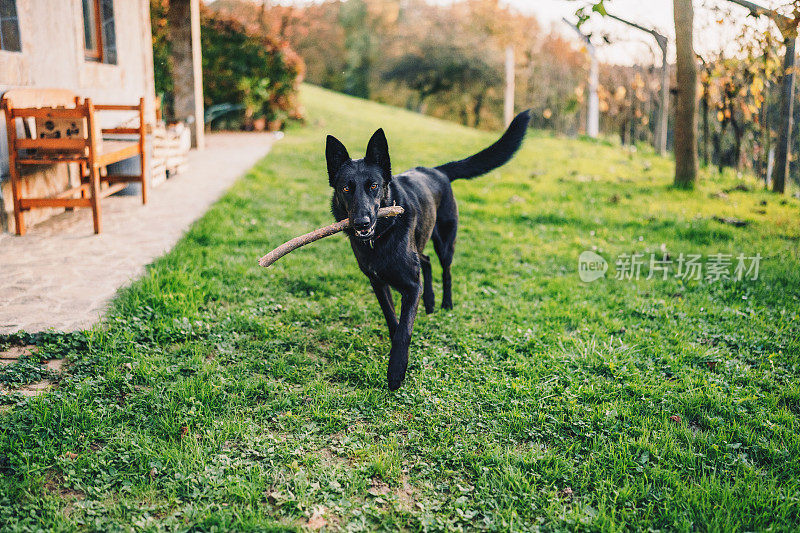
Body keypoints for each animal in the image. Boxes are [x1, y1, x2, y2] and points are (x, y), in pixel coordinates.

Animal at [324, 110, 532, 388]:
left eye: (374, 186)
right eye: (346, 188)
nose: (361, 222)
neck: (380, 237)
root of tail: (437, 171)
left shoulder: (412, 287)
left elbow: (404, 329)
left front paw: (396, 372)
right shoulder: (378, 283)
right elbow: (393, 320)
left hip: (445, 241)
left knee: (445, 269)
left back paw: (445, 304)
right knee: (427, 260)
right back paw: (431, 302)